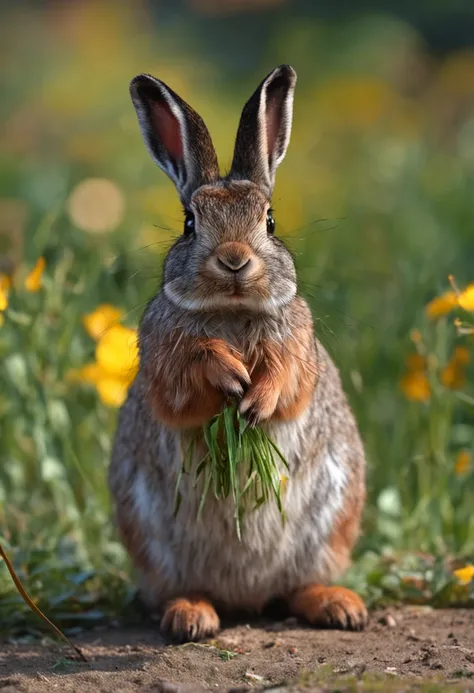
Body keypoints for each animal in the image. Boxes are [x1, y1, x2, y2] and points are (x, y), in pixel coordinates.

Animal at [109, 65, 368, 644]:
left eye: (269, 220)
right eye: (189, 222)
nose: (233, 259)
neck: (231, 310)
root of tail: (246, 598)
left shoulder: (297, 349)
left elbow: (287, 383)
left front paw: (255, 400)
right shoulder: (164, 359)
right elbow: (184, 385)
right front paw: (228, 375)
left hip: (331, 523)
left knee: (299, 586)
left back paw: (341, 607)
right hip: (153, 542)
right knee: (183, 588)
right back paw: (191, 617)